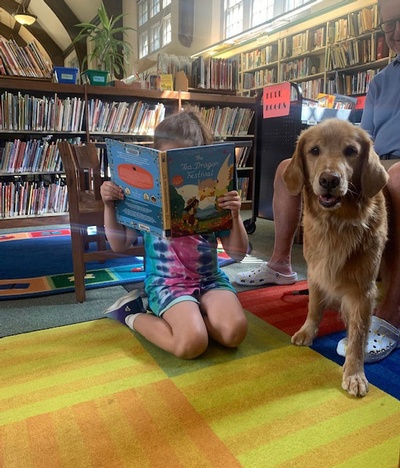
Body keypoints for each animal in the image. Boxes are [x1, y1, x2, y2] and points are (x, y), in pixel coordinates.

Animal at [282, 119, 390, 396]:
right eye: (314, 150)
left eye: (351, 151)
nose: (329, 179)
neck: (337, 224)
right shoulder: (315, 273)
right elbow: (314, 307)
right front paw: (307, 331)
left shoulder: (364, 290)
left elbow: (359, 334)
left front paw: (354, 374)